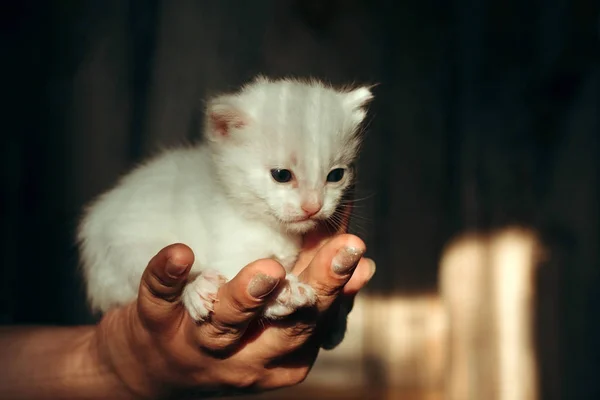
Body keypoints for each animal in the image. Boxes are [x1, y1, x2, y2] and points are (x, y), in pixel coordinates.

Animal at [78, 76, 372, 346]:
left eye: (336, 176)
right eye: (281, 175)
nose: (313, 207)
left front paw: (334, 321)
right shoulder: (231, 250)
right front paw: (286, 292)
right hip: (125, 249)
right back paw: (198, 287)